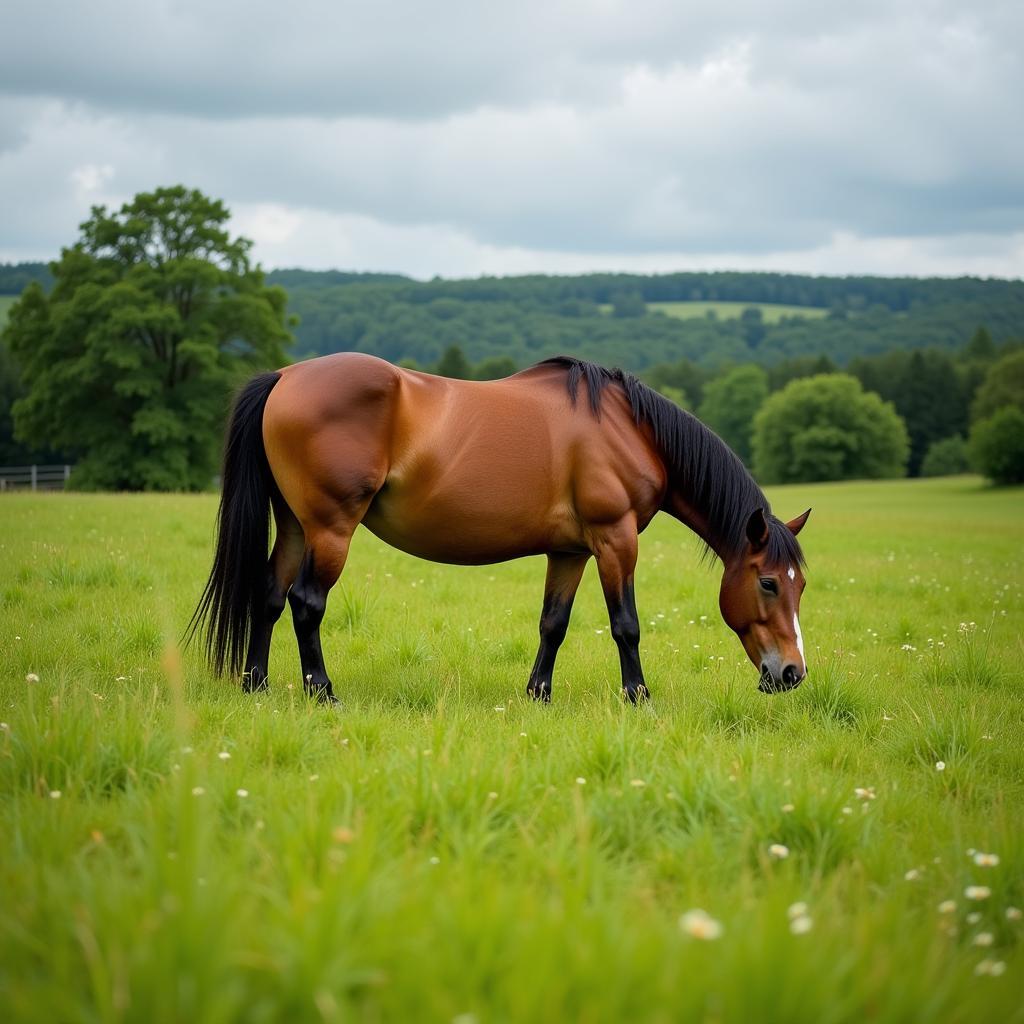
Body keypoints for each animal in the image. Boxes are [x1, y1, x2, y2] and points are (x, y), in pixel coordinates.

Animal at [188, 354, 811, 704]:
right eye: (768, 582)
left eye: (799, 584)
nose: (791, 674)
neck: (629, 428)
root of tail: (285, 377)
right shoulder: (615, 539)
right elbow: (626, 625)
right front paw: (638, 696)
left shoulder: (570, 551)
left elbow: (553, 624)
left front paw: (538, 695)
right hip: (330, 528)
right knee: (306, 602)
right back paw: (322, 692)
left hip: (295, 525)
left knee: (269, 597)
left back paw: (257, 685)